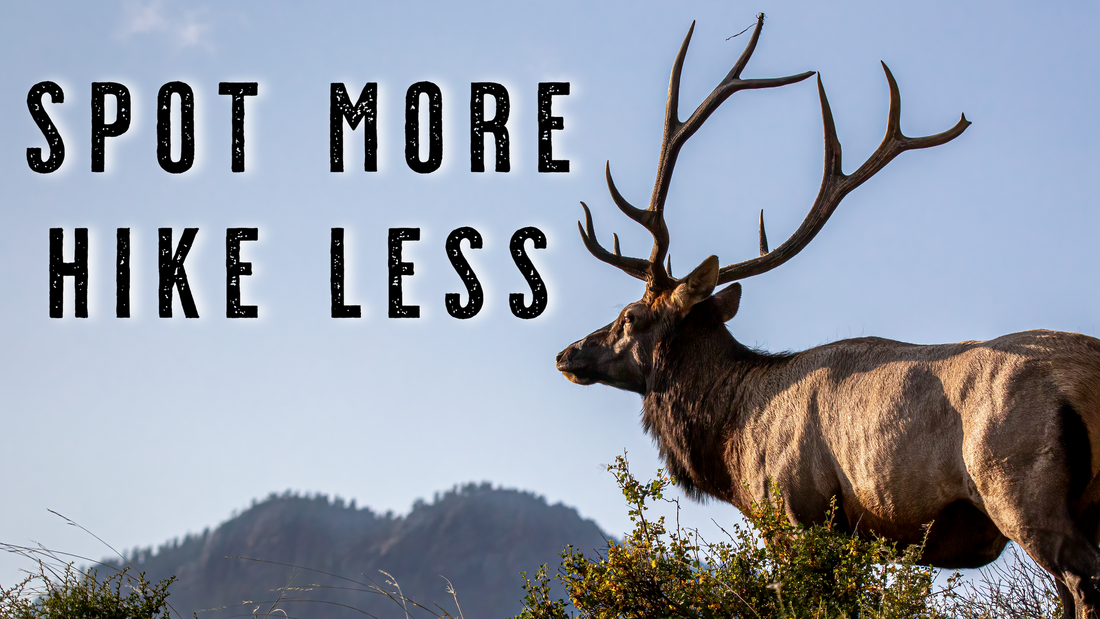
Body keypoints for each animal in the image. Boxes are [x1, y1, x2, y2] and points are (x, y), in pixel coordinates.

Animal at [555, 14, 1100, 618]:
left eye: (629, 316)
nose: (567, 354)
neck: (732, 434)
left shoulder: (797, 513)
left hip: (1021, 485)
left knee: (1082, 582)